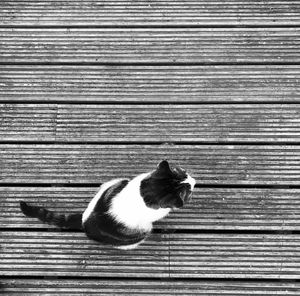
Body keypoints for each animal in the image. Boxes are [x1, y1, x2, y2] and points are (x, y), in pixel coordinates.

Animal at [19, 161, 196, 249]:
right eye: (188, 191)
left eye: (183, 172)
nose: (194, 180)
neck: (143, 192)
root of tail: (84, 220)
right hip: (141, 231)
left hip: (111, 184)